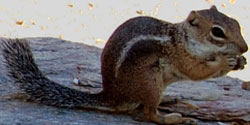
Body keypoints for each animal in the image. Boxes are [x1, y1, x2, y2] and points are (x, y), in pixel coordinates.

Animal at [1, 5, 248, 124]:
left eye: (237, 23)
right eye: (217, 32)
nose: (245, 48)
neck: (182, 38)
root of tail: (111, 96)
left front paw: (241, 61)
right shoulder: (180, 55)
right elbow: (196, 71)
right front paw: (227, 61)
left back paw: (169, 100)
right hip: (150, 81)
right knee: (148, 115)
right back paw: (173, 119)